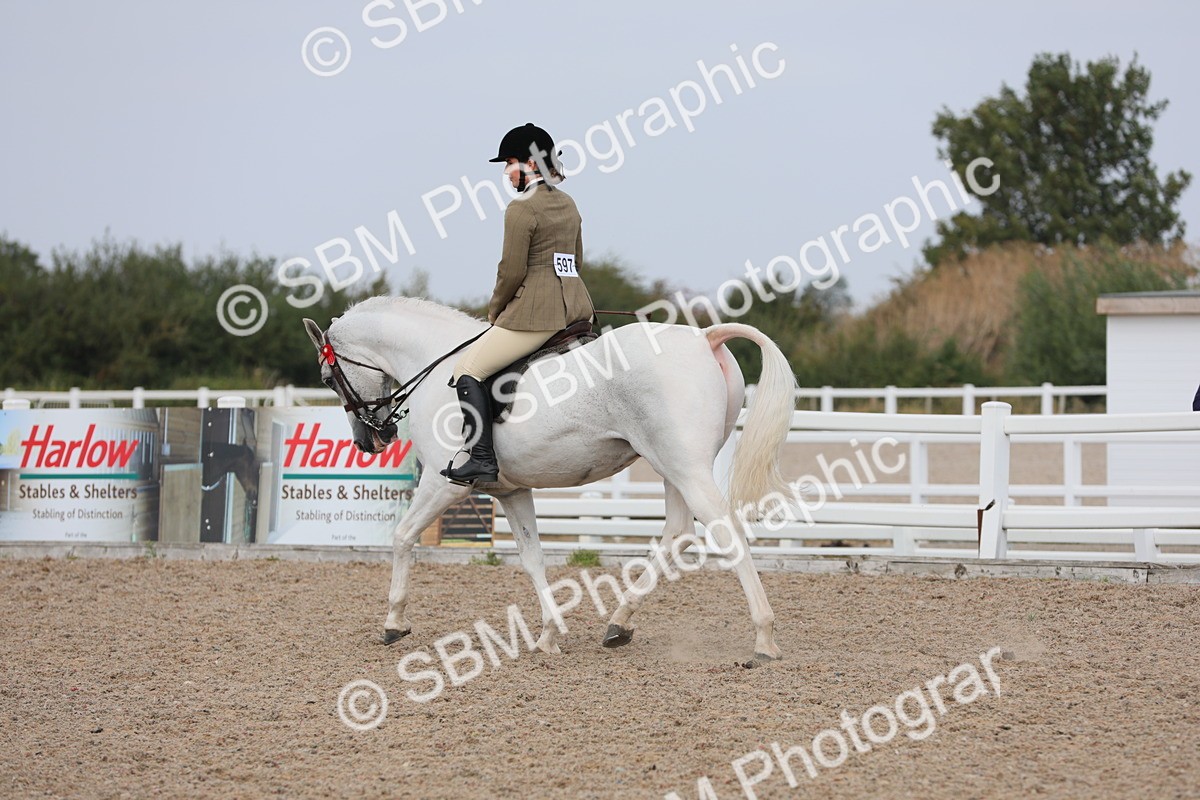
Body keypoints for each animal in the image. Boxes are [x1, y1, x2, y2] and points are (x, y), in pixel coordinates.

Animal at [302, 297, 797, 660]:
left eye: (328, 377)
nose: (371, 440)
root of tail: (704, 337)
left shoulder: (444, 485)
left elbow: (403, 536)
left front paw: (394, 622)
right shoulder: (512, 491)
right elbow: (532, 558)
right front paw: (549, 634)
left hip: (685, 466)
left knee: (724, 529)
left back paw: (764, 637)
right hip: (673, 465)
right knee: (678, 532)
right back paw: (619, 623)